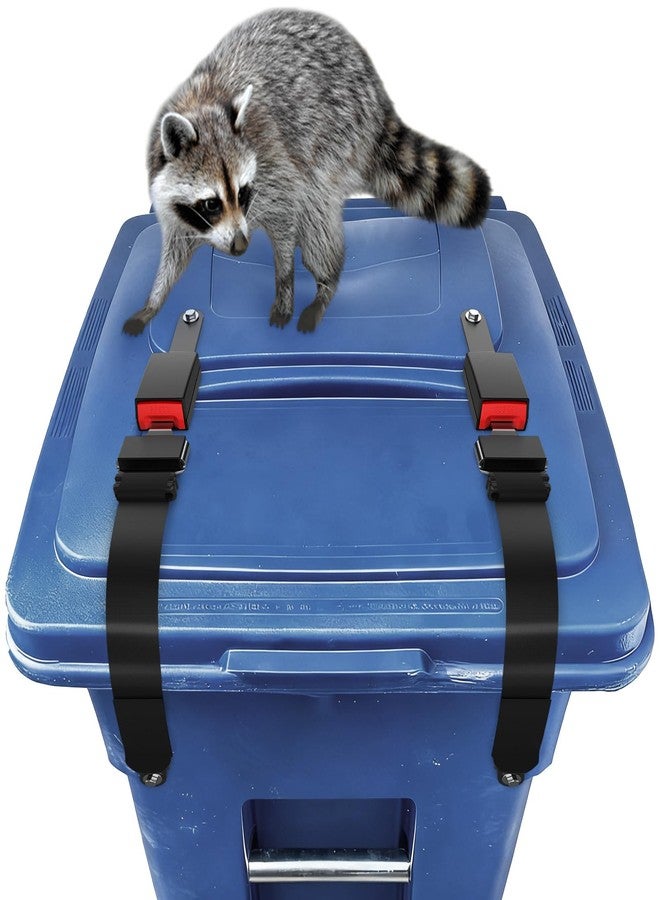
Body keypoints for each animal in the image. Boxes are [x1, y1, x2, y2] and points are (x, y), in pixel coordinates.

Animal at [123, 8, 491, 335]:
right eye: (211, 203)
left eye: (243, 192)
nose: (241, 246)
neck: (200, 107)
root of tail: (377, 94)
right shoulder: (174, 202)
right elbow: (176, 250)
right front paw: (154, 299)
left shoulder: (275, 166)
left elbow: (288, 218)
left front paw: (285, 283)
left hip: (340, 134)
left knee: (316, 212)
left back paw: (325, 286)